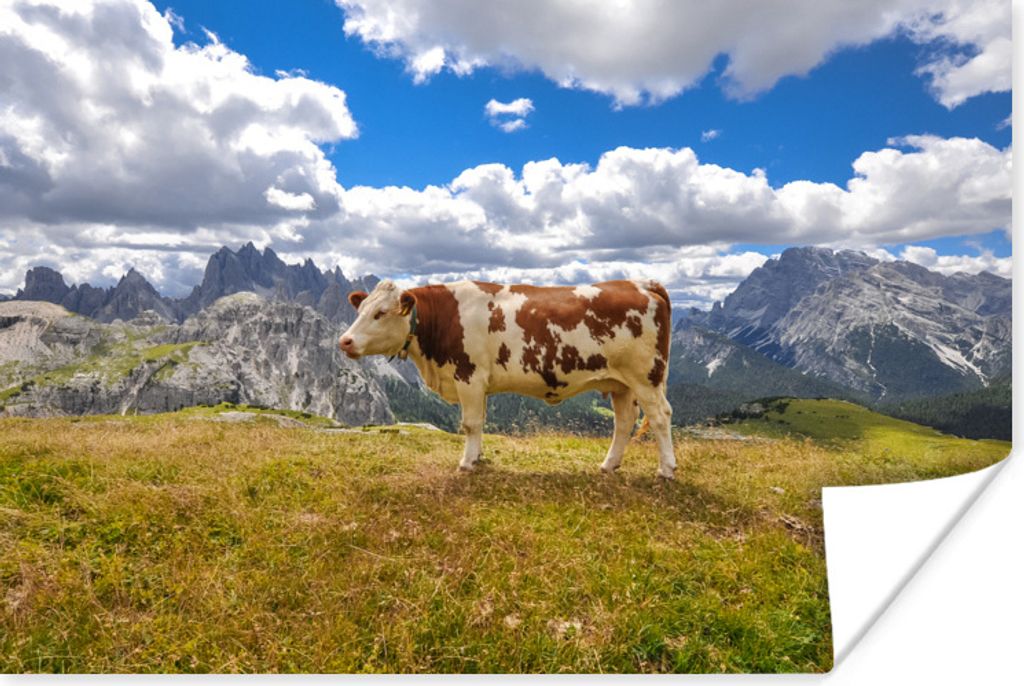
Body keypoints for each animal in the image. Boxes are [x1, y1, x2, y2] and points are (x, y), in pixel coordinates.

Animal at [338, 279, 676, 479]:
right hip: (621, 383)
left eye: (381, 313)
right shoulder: (480, 384)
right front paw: (477, 457)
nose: (345, 341)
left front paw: (466, 463)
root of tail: (640, 283)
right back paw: (609, 464)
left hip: (646, 377)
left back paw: (667, 469)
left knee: (660, 416)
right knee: (624, 421)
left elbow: (470, 423)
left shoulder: (469, 376)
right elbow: (481, 422)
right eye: (361, 309)